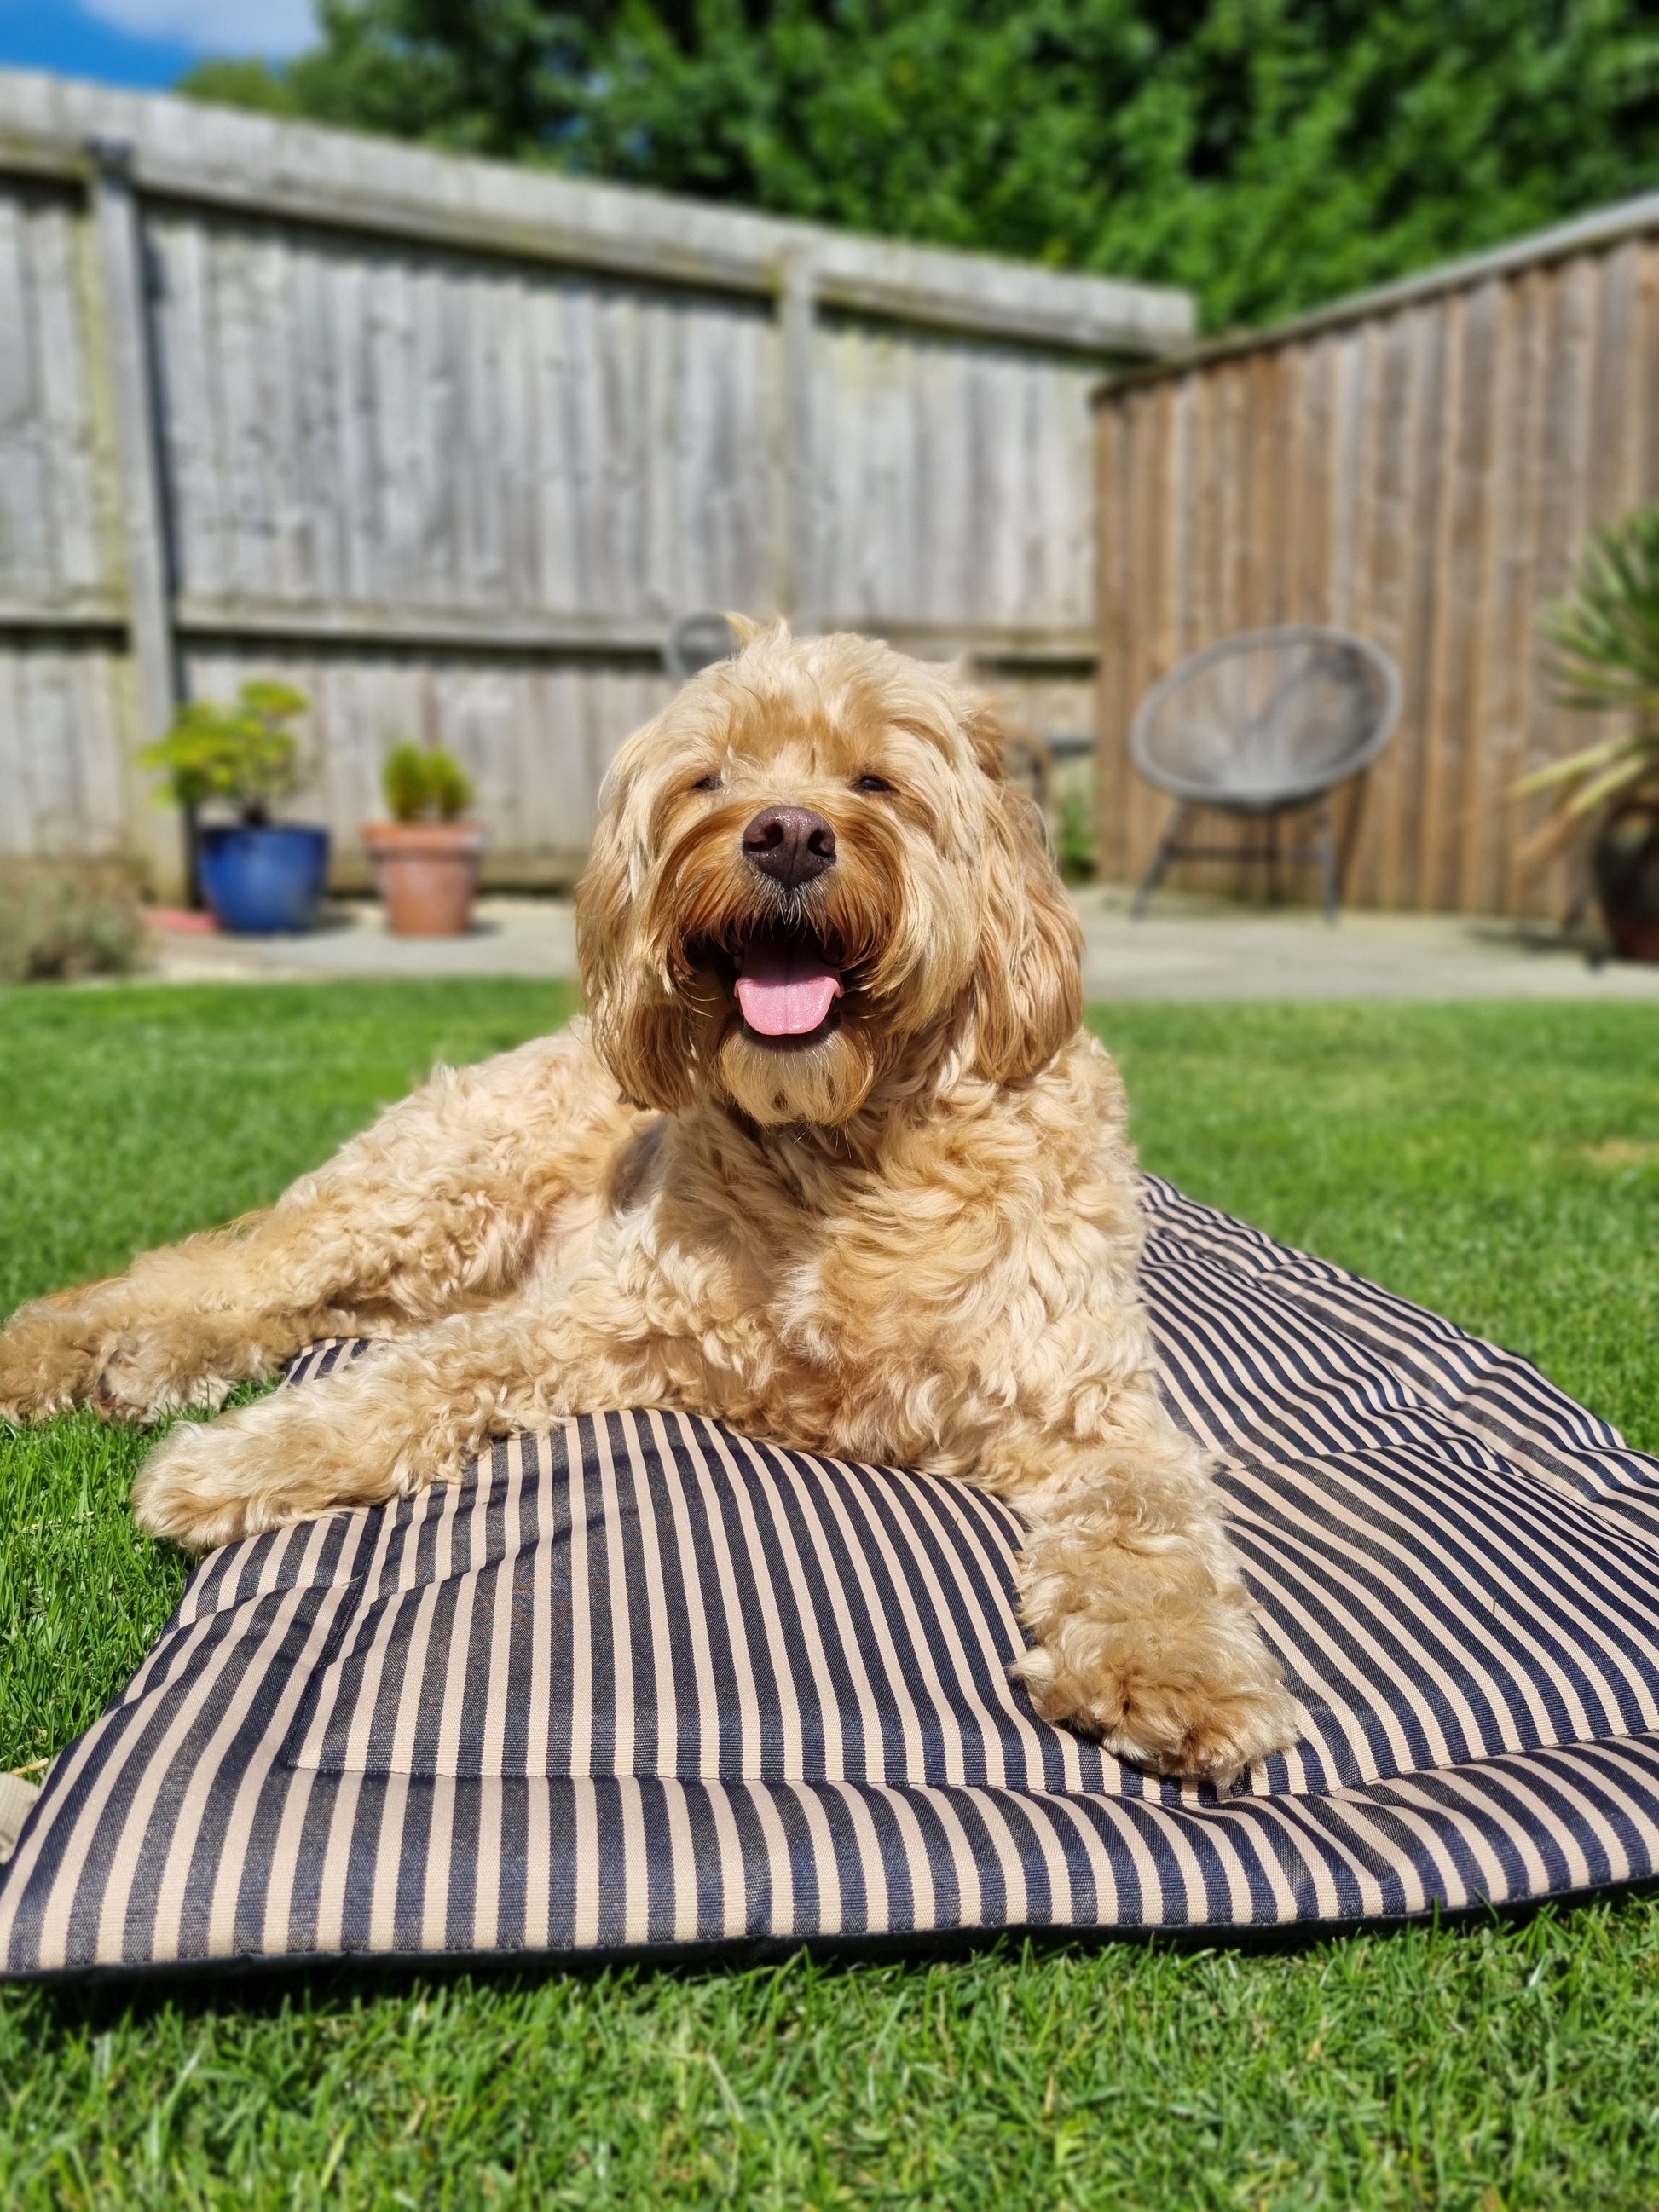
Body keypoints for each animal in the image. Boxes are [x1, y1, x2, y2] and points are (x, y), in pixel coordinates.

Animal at [0, 619, 1300, 1778]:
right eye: (708, 777)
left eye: (875, 778)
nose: (785, 833)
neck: (846, 1146)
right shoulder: (597, 1316)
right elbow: (422, 1378)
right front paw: (244, 1459)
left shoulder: (1089, 1405)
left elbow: (1146, 1523)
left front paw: (1176, 1669)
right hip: (427, 1191)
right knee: (217, 1267)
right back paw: (61, 1356)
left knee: (297, 1310)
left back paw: (153, 1361)